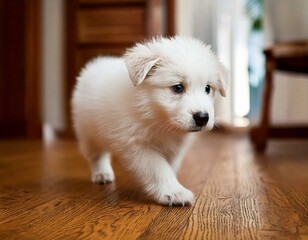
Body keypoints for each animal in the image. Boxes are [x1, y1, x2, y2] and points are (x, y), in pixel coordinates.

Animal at [71, 36, 227, 206]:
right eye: (178, 87)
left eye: (207, 88)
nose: (202, 118)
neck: (157, 117)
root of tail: (96, 63)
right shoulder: (135, 145)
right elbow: (158, 167)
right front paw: (174, 192)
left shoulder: (175, 148)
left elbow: (170, 166)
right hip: (88, 132)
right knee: (96, 155)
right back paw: (101, 173)